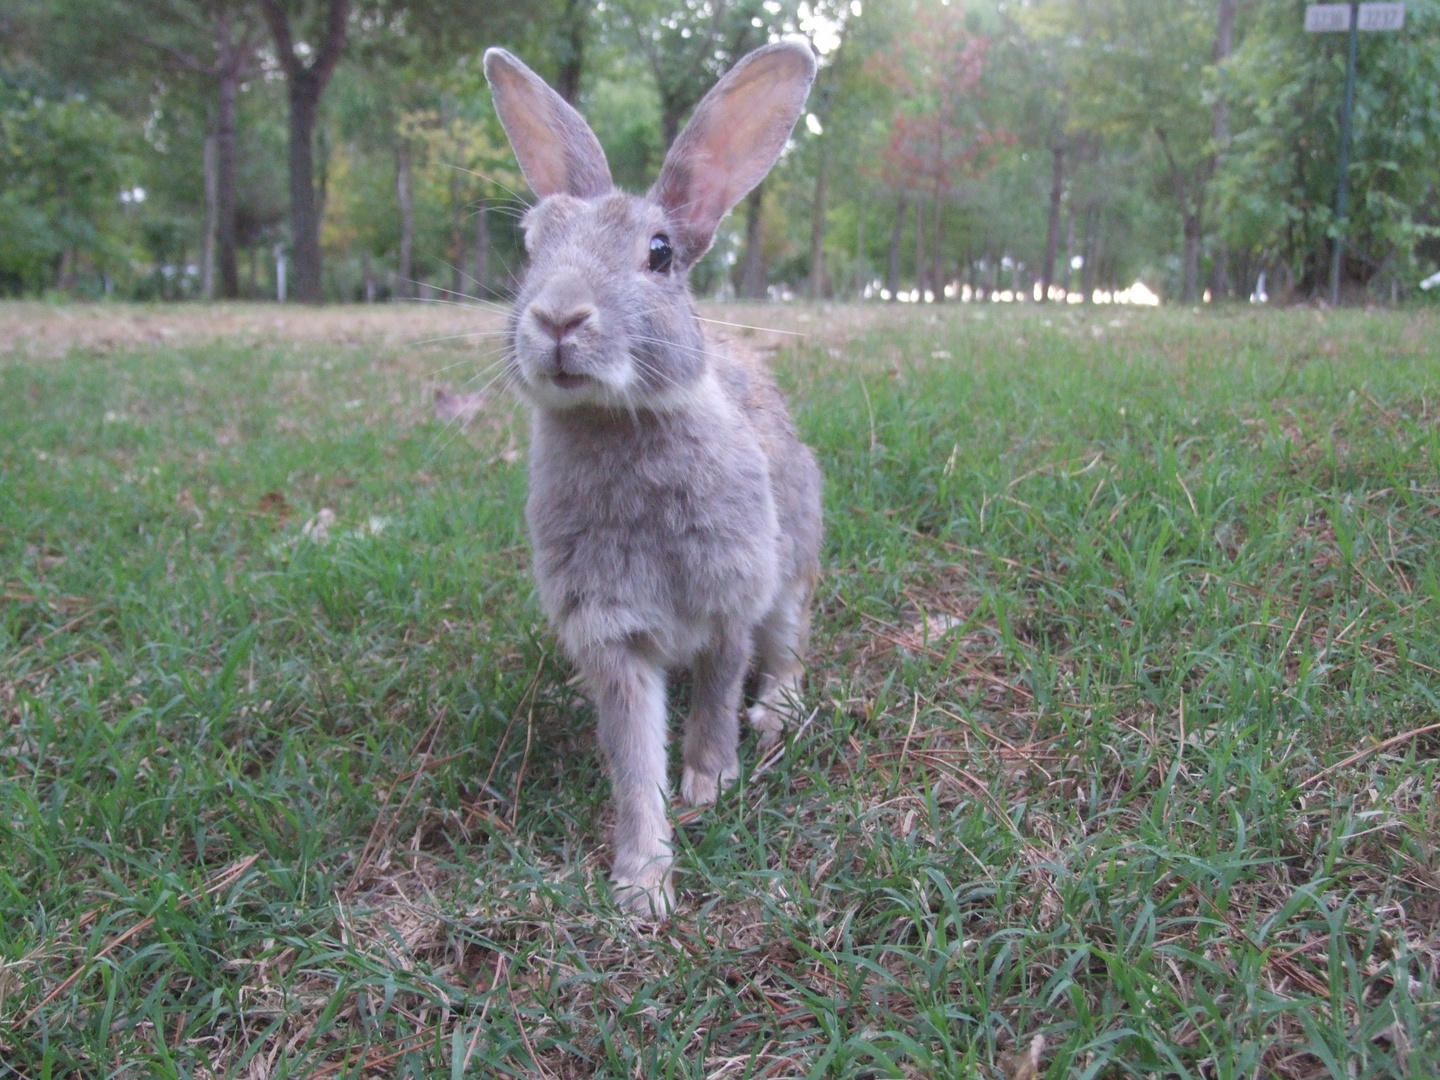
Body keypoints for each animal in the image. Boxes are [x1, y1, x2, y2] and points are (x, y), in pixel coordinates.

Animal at [483, 44, 823, 921]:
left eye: (661, 253)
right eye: (530, 244)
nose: (558, 318)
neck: (617, 422)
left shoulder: (733, 592)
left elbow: (718, 688)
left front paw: (709, 779)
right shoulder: (612, 633)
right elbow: (632, 757)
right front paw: (642, 882)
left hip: (792, 571)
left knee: (788, 649)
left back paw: (773, 713)